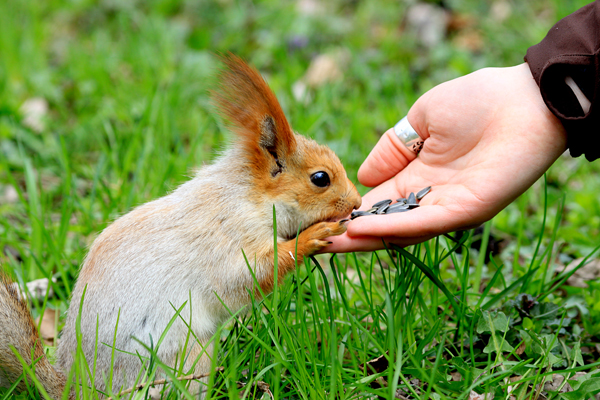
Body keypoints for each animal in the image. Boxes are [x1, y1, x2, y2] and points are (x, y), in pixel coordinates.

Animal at [0, 54, 360, 398]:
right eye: (320, 178)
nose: (356, 203)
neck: (246, 195)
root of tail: (79, 387)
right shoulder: (225, 236)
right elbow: (248, 274)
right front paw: (311, 238)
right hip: (186, 356)